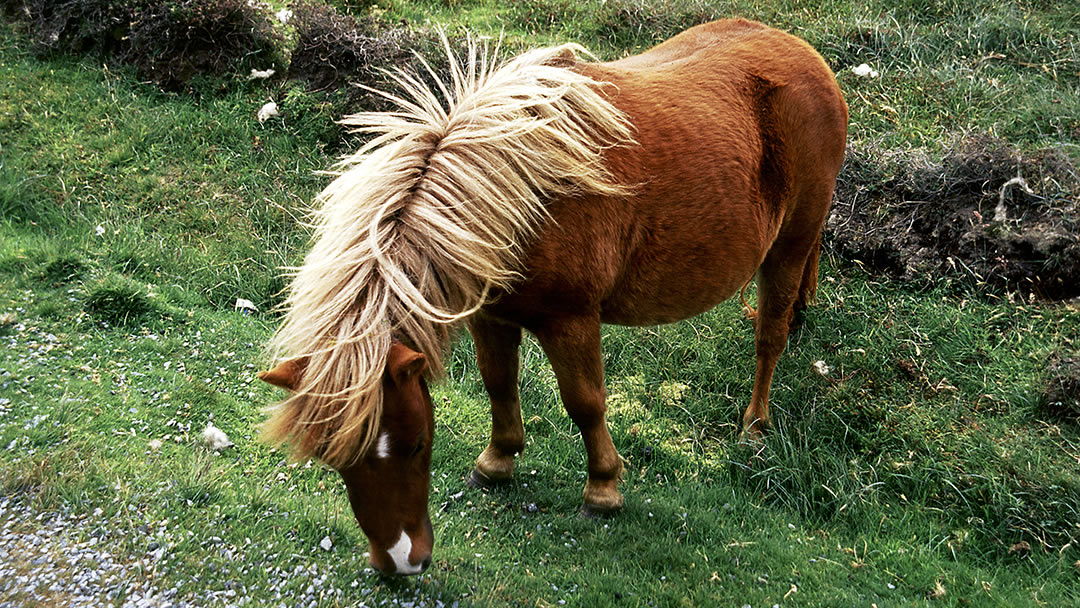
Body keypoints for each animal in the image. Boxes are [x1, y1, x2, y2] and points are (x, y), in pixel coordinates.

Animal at [258, 18, 848, 575]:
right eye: (336, 460)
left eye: (417, 445)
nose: (400, 561)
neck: (516, 200)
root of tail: (810, 61)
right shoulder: (491, 316)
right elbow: (499, 384)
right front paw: (496, 462)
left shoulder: (572, 320)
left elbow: (585, 403)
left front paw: (602, 490)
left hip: (788, 246)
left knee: (769, 338)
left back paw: (754, 427)